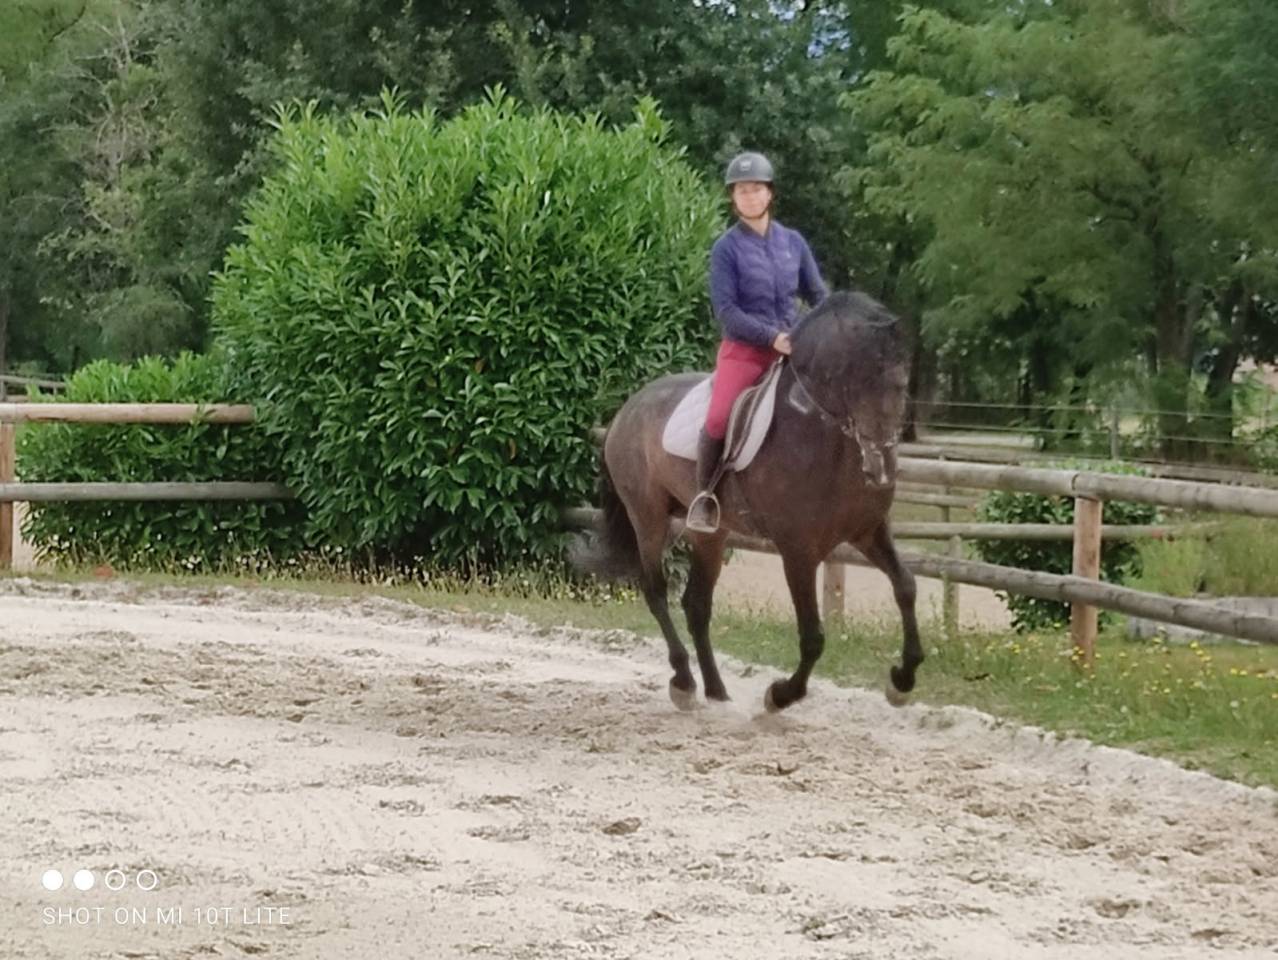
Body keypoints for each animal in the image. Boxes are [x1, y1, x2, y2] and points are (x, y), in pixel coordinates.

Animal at [572, 290, 922, 712]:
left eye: (902, 384)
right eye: (856, 379)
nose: (882, 468)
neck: (829, 441)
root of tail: (626, 408)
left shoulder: (868, 532)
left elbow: (906, 586)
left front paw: (902, 680)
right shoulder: (798, 550)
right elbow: (813, 636)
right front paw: (781, 695)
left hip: (710, 532)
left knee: (696, 605)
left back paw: (716, 689)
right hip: (649, 518)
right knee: (655, 591)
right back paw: (684, 682)